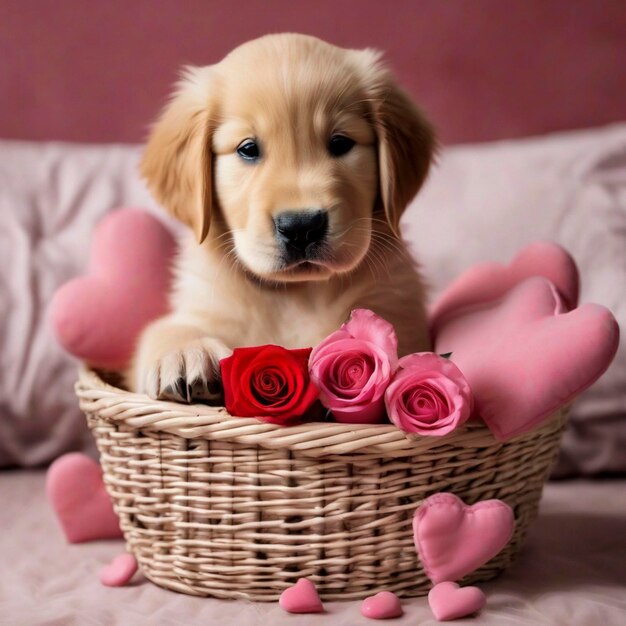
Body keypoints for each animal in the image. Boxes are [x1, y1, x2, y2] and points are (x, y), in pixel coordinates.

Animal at [130, 33, 434, 400]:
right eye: (247, 149)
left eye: (340, 143)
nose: (302, 227)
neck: (295, 295)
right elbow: (165, 328)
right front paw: (187, 352)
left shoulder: (398, 309)